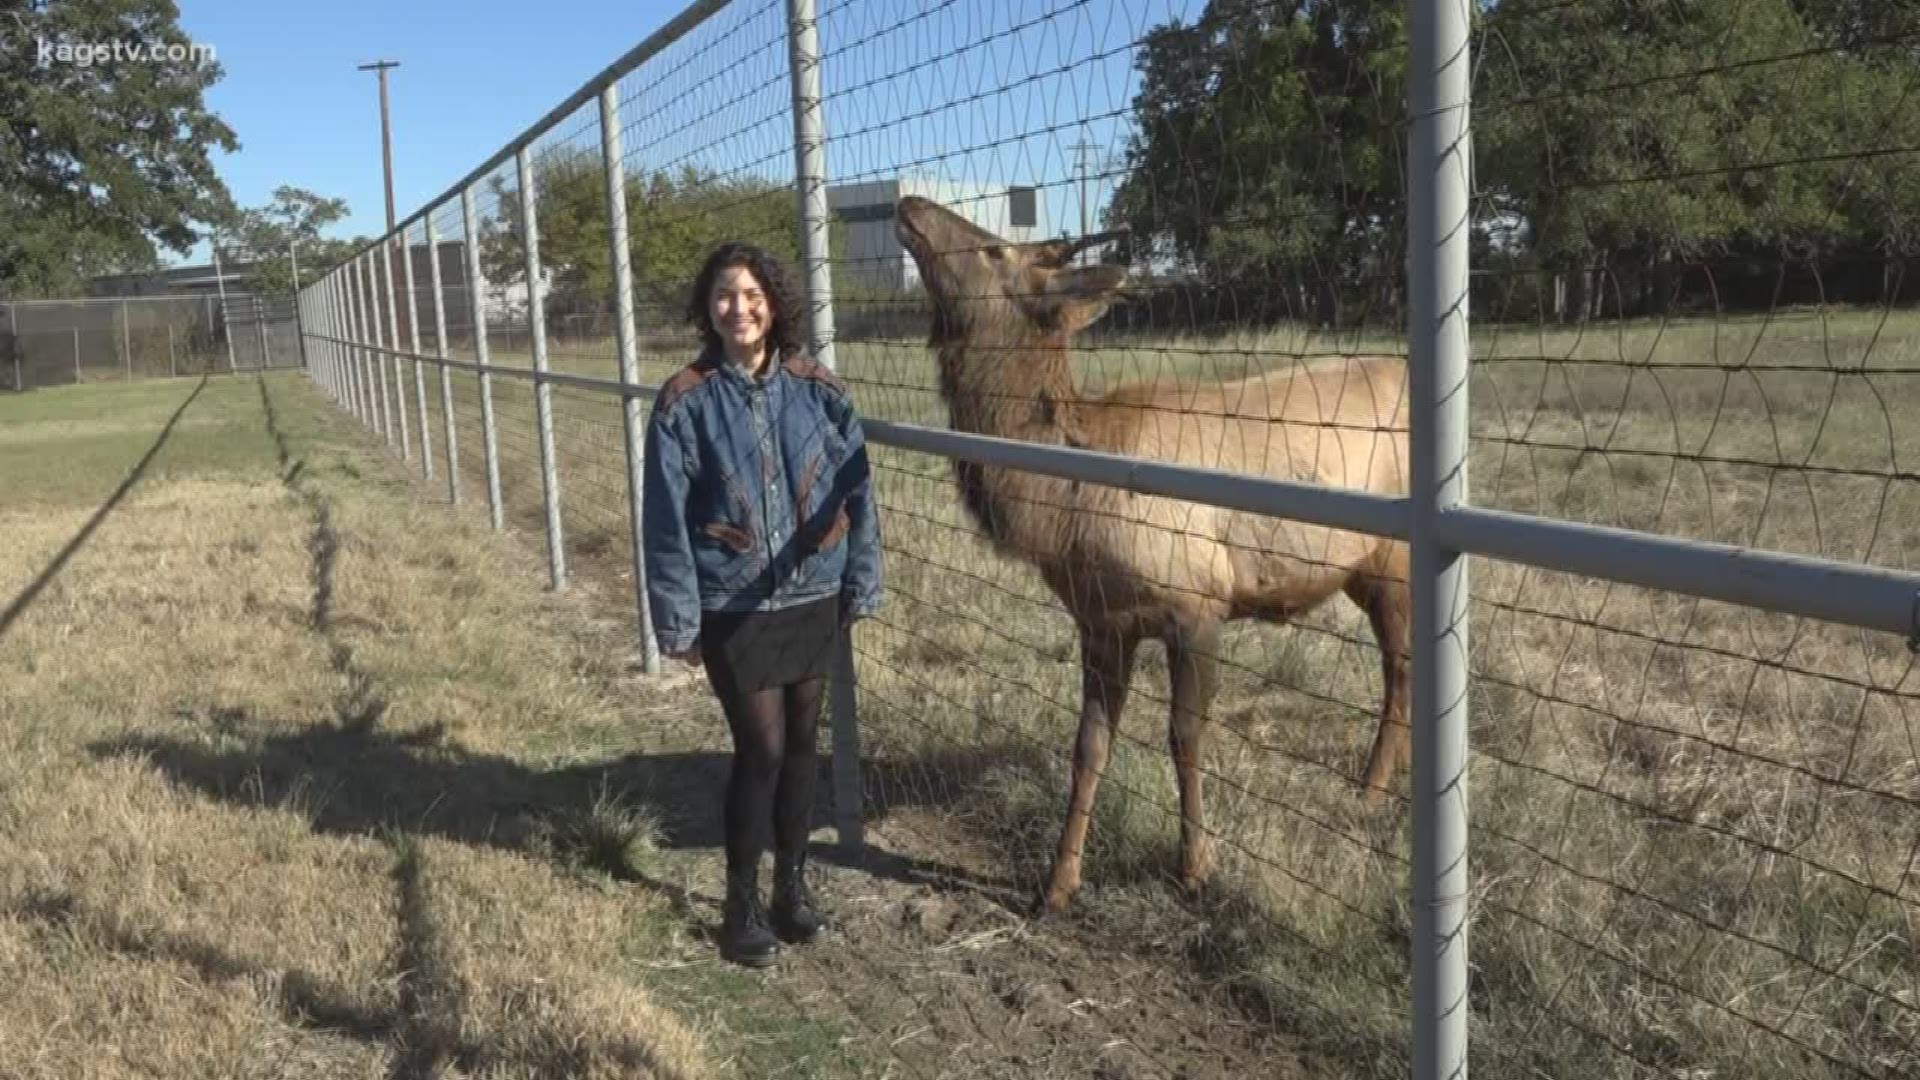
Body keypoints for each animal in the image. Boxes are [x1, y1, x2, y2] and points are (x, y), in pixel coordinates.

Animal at [887, 193, 1413, 907]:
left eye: (995, 249)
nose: (909, 203)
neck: (1065, 510)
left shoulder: (1199, 601)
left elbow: (1184, 737)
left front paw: (1195, 866)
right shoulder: (1102, 622)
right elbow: (1089, 746)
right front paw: (1058, 881)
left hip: (1395, 559)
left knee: (1400, 666)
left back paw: (1370, 790)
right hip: (1359, 568)